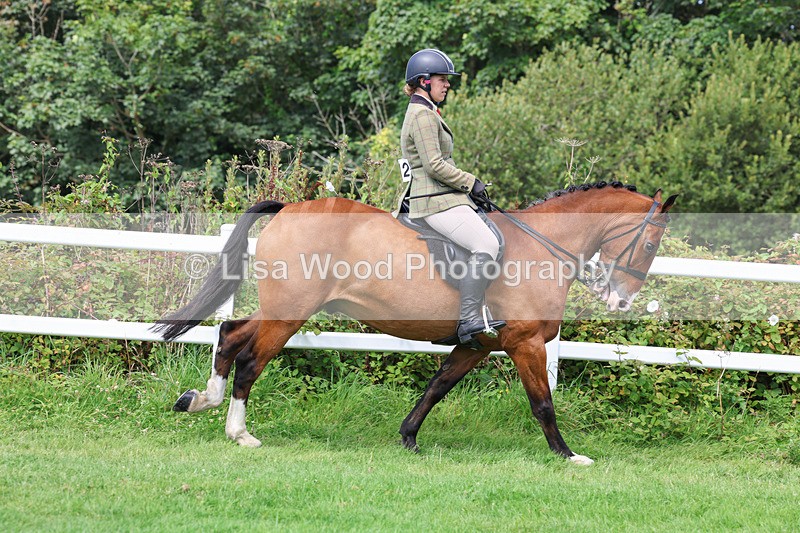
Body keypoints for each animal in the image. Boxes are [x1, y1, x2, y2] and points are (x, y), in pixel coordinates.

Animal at [154, 181, 677, 465]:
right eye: (651, 244)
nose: (621, 300)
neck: (542, 246)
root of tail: (289, 208)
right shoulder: (525, 341)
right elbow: (543, 404)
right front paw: (569, 456)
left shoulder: (478, 343)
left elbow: (436, 387)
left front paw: (408, 437)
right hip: (290, 313)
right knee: (249, 360)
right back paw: (239, 433)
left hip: (282, 308)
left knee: (229, 334)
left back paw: (199, 399)